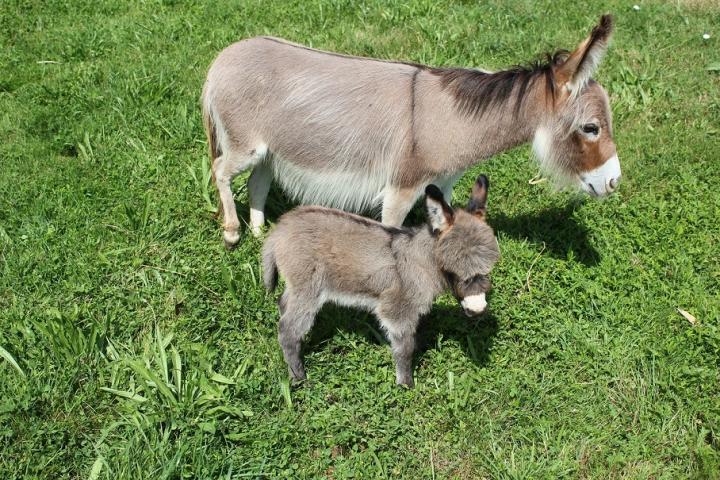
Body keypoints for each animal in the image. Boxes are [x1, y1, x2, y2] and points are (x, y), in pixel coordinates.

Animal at [262, 176, 500, 386]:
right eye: (452, 270)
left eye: (487, 269)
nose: (478, 309)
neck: (423, 261)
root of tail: (280, 228)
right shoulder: (397, 309)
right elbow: (404, 349)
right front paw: (406, 385)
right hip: (308, 288)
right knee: (288, 330)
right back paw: (298, 378)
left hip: (296, 287)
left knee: (284, 304)